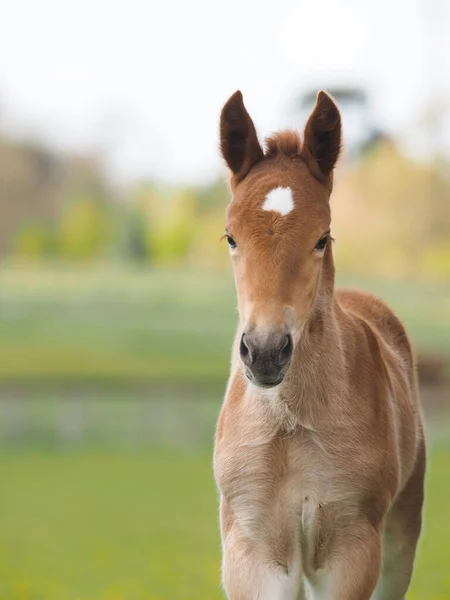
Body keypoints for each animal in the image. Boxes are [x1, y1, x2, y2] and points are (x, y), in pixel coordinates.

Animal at [214, 90, 426, 600]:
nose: (266, 351)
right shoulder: (253, 553)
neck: (290, 424)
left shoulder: (350, 551)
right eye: (231, 237)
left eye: (321, 238)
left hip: (400, 541)